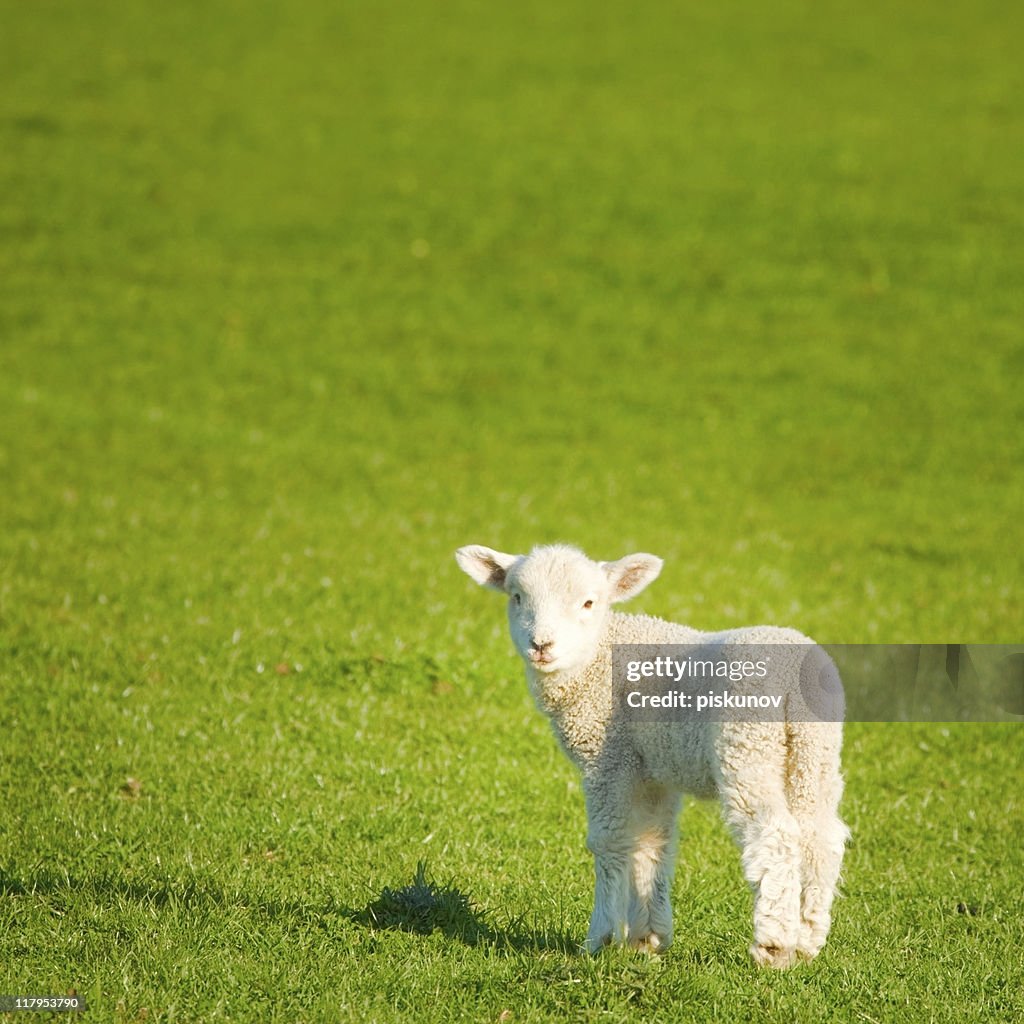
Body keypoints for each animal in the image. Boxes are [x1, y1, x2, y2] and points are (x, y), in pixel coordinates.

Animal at [456, 544, 847, 966]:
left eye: (589, 602)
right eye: (517, 597)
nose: (541, 645)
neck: (594, 663)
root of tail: (797, 675)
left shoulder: (609, 759)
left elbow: (609, 841)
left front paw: (602, 937)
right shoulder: (653, 771)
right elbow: (651, 842)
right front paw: (647, 937)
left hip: (748, 743)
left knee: (775, 833)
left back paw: (773, 944)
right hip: (815, 751)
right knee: (821, 836)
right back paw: (807, 940)